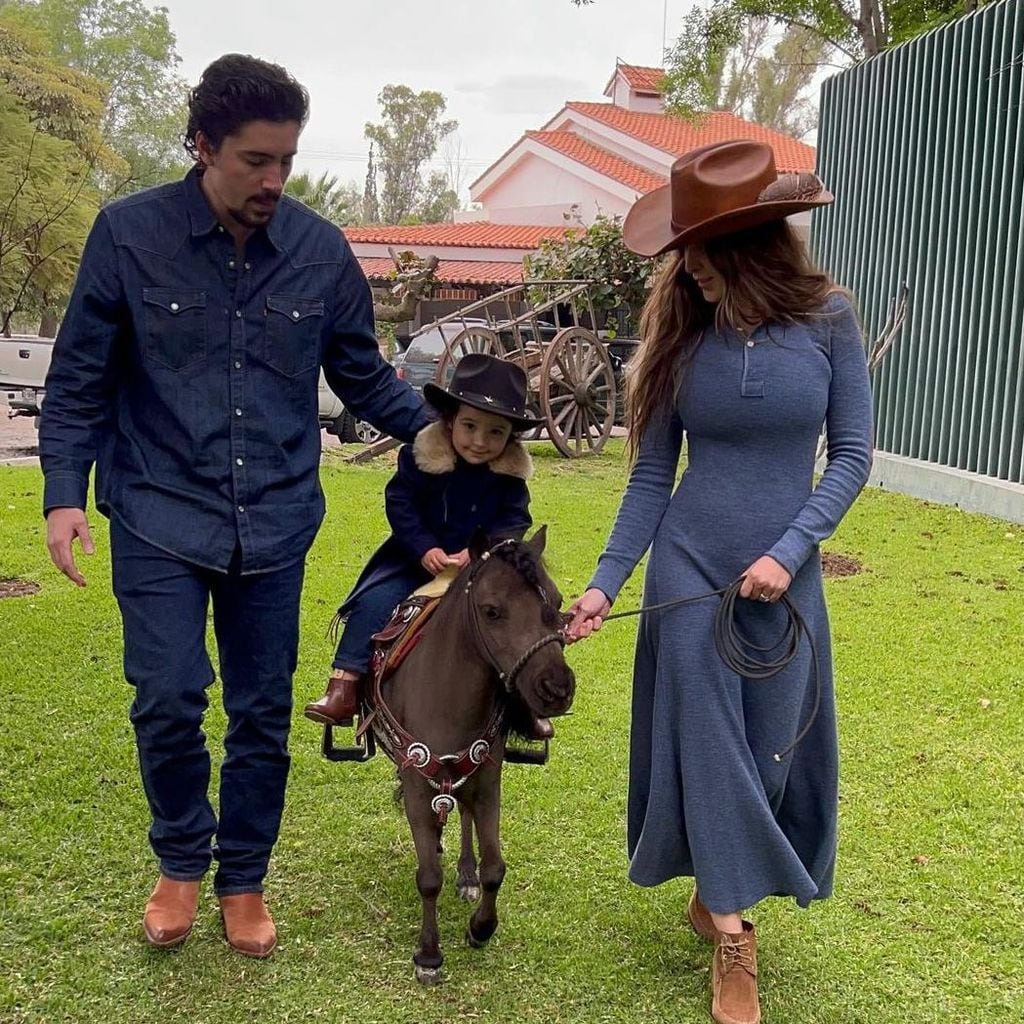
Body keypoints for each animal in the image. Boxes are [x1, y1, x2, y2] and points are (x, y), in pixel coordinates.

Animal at [368, 528, 577, 983]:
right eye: (491, 610)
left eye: (556, 604)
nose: (557, 688)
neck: (447, 696)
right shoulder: (416, 785)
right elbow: (428, 877)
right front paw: (429, 955)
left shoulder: (486, 781)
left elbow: (495, 867)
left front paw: (481, 927)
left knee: (461, 814)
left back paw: (465, 873)